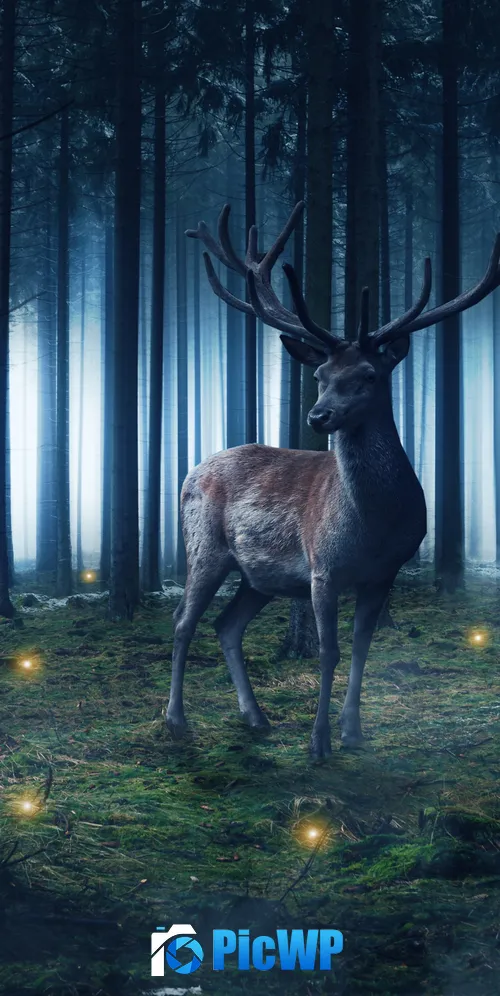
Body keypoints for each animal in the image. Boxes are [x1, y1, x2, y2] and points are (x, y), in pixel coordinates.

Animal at [166, 201, 500, 759]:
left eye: (369, 374)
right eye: (320, 375)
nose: (319, 415)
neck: (374, 527)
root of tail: (192, 470)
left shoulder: (385, 573)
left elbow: (363, 647)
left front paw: (353, 732)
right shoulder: (322, 568)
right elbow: (329, 650)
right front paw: (319, 743)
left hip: (259, 576)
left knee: (226, 625)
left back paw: (257, 717)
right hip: (204, 548)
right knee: (183, 622)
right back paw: (175, 719)